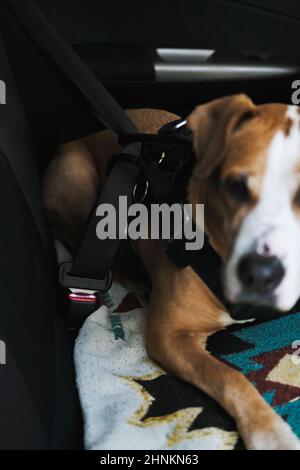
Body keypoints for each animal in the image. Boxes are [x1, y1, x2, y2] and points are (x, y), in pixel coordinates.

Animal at [44, 94, 300, 448]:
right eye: (235, 186)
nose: (262, 273)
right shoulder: (168, 336)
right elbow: (229, 376)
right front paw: (270, 432)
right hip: (77, 181)